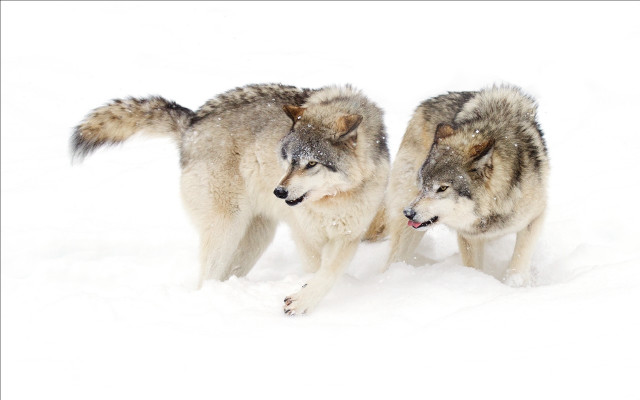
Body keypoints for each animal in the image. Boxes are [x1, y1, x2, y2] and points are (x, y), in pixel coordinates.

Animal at [71, 84, 390, 314]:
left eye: (311, 164)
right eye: (288, 159)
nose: (279, 192)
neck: (334, 199)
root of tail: (191, 123)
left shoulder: (349, 235)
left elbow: (330, 272)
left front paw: (309, 297)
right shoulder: (304, 234)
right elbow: (317, 269)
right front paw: (304, 297)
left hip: (255, 236)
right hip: (227, 227)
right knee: (206, 279)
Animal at [382, 85, 548, 286]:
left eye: (442, 188)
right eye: (423, 183)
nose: (408, 212)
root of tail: (424, 104)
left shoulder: (534, 218)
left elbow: (519, 260)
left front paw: (513, 284)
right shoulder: (468, 236)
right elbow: (474, 267)